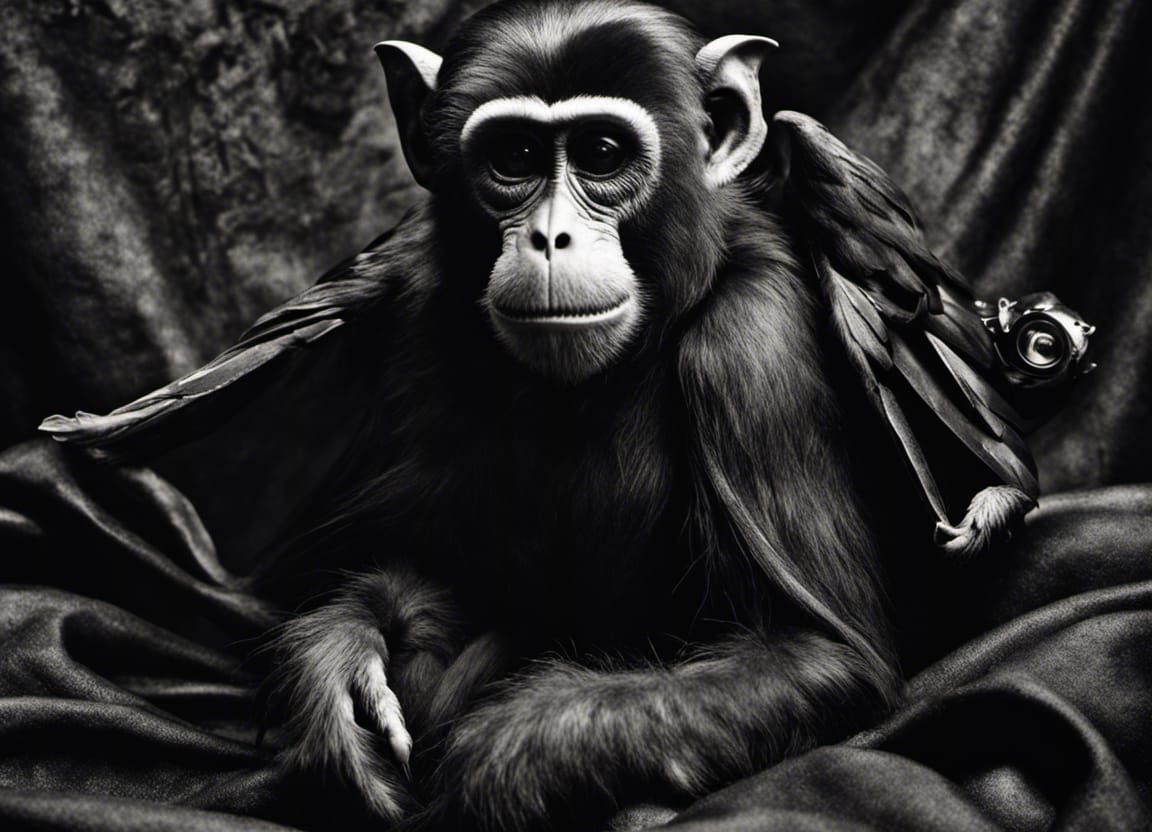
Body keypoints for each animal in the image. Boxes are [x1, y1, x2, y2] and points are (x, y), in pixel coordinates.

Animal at [40, 1, 1054, 829]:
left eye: (601, 156)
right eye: (515, 159)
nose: (551, 235)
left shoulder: (751, 349)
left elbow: (810, 656)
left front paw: (492, 764)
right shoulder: (429, 323)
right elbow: (427, 566)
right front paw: (337, 677)